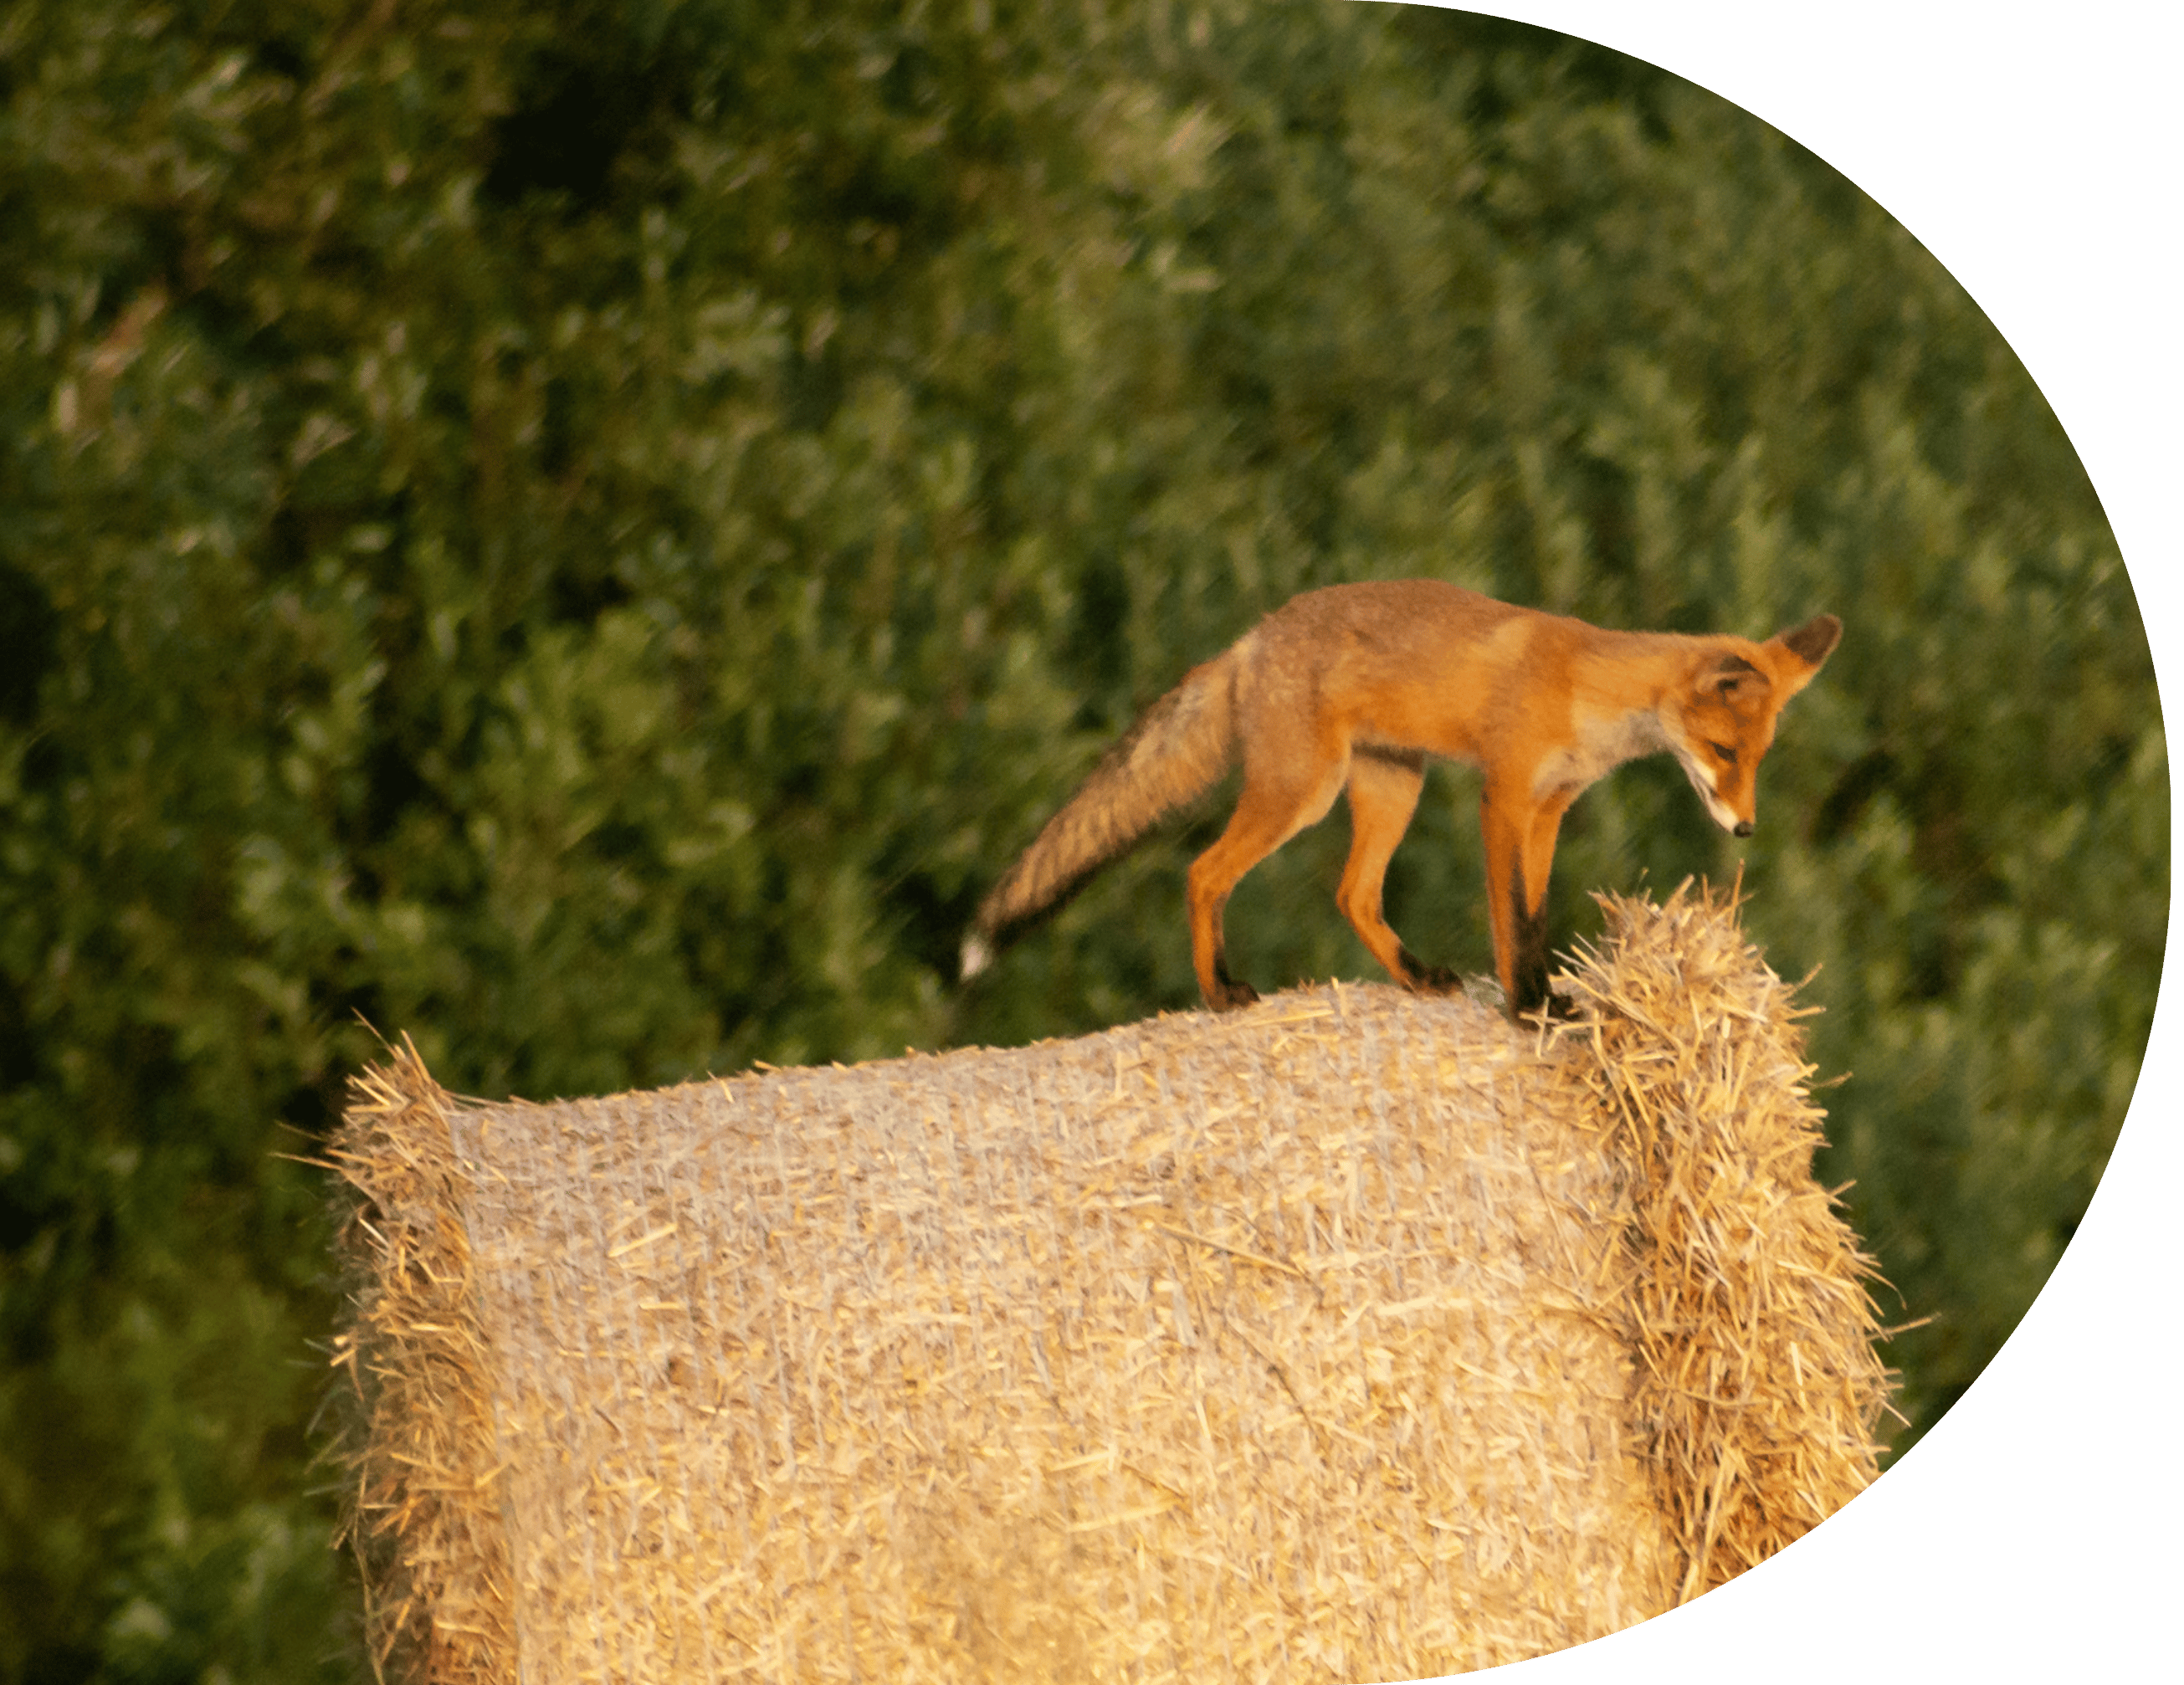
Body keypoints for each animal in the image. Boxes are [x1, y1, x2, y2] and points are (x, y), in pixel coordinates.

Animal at [960, 580, 1841, 1018]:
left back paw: (1415, 977)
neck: (1587, 692)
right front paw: (1527, 1006)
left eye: (1757, 760)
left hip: (1394, 787)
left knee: (1354, 895)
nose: (1745, 828)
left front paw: (1547, 998)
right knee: (1204, 874)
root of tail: (1252, 637)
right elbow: (1510, 917)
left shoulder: (1552, 808)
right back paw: (1220, 993)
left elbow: (1537, 914)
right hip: (1303, 793)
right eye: (1724, 754)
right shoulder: (1505, 796)